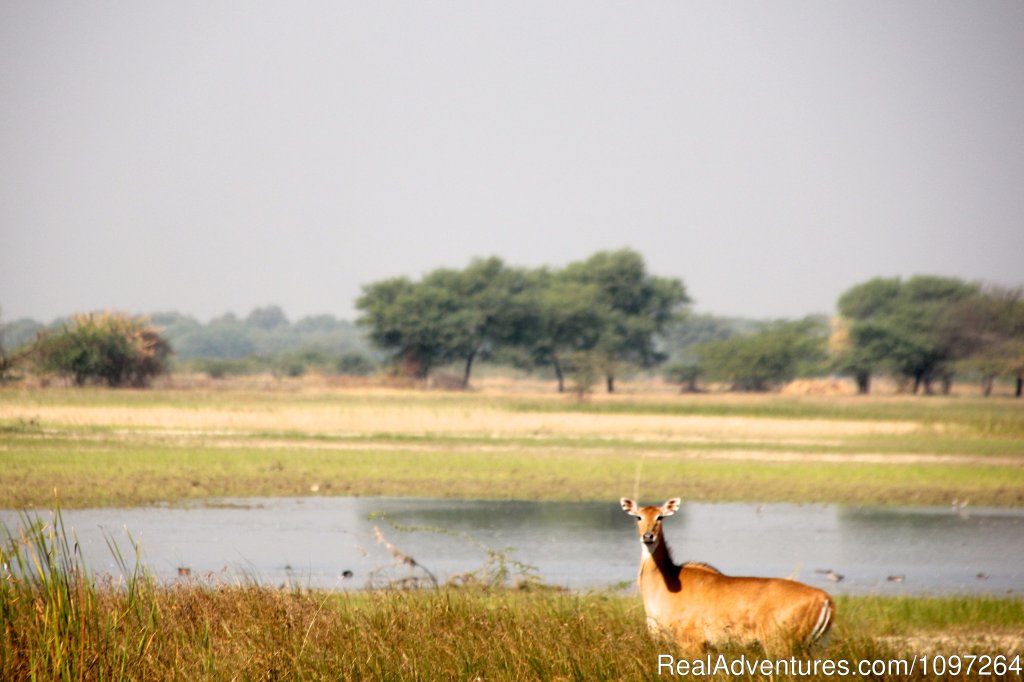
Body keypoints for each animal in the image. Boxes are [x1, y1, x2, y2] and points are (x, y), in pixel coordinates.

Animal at [618, 497, 835, 651]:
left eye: (660, 516)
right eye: (638, 516)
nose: (648, 536)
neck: (667, 584)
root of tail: (825, 599)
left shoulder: (691, 642)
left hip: (780, 644)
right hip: (815, 648)